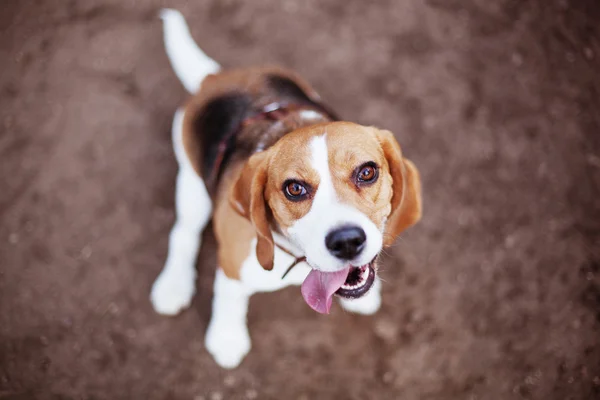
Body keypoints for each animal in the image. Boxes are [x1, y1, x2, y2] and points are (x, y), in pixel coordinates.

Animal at [150, 9, 422, 368]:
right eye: (294, 189)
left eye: (367, 172)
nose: (347, 242)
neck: (302, 260)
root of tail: (215, 78)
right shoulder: (232, 264)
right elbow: (228, 298)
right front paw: (226, 338)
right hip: (192, 184)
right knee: (183, 233)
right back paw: (172, 286)